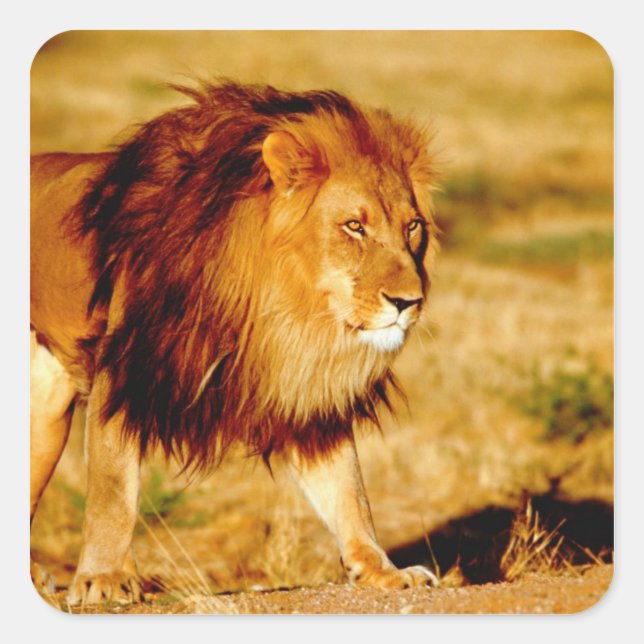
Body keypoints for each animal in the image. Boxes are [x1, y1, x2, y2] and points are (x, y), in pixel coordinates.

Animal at [30, 81, 441, 604]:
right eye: (354, 226)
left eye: (412, 227)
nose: (410, 302)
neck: (283, 305)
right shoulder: (126, 371)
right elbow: (112, 488)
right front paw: (103, 578)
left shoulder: (304, 392)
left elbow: (349, 490)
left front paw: (383, 570)